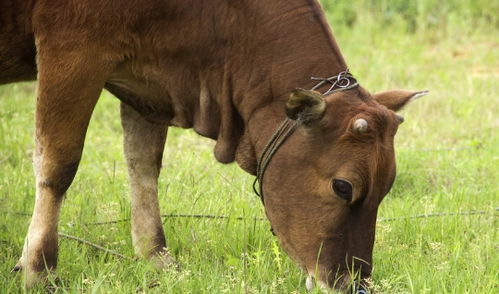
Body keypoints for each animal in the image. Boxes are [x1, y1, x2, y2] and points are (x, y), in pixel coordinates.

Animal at [1, 0, 428, 292]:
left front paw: (157, 258)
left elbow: (143, 166)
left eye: (386, 189)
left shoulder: (146, 84)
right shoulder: (72, 47)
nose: (353, 283)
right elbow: (59, 165)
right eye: (343, 186)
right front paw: (39, 269)